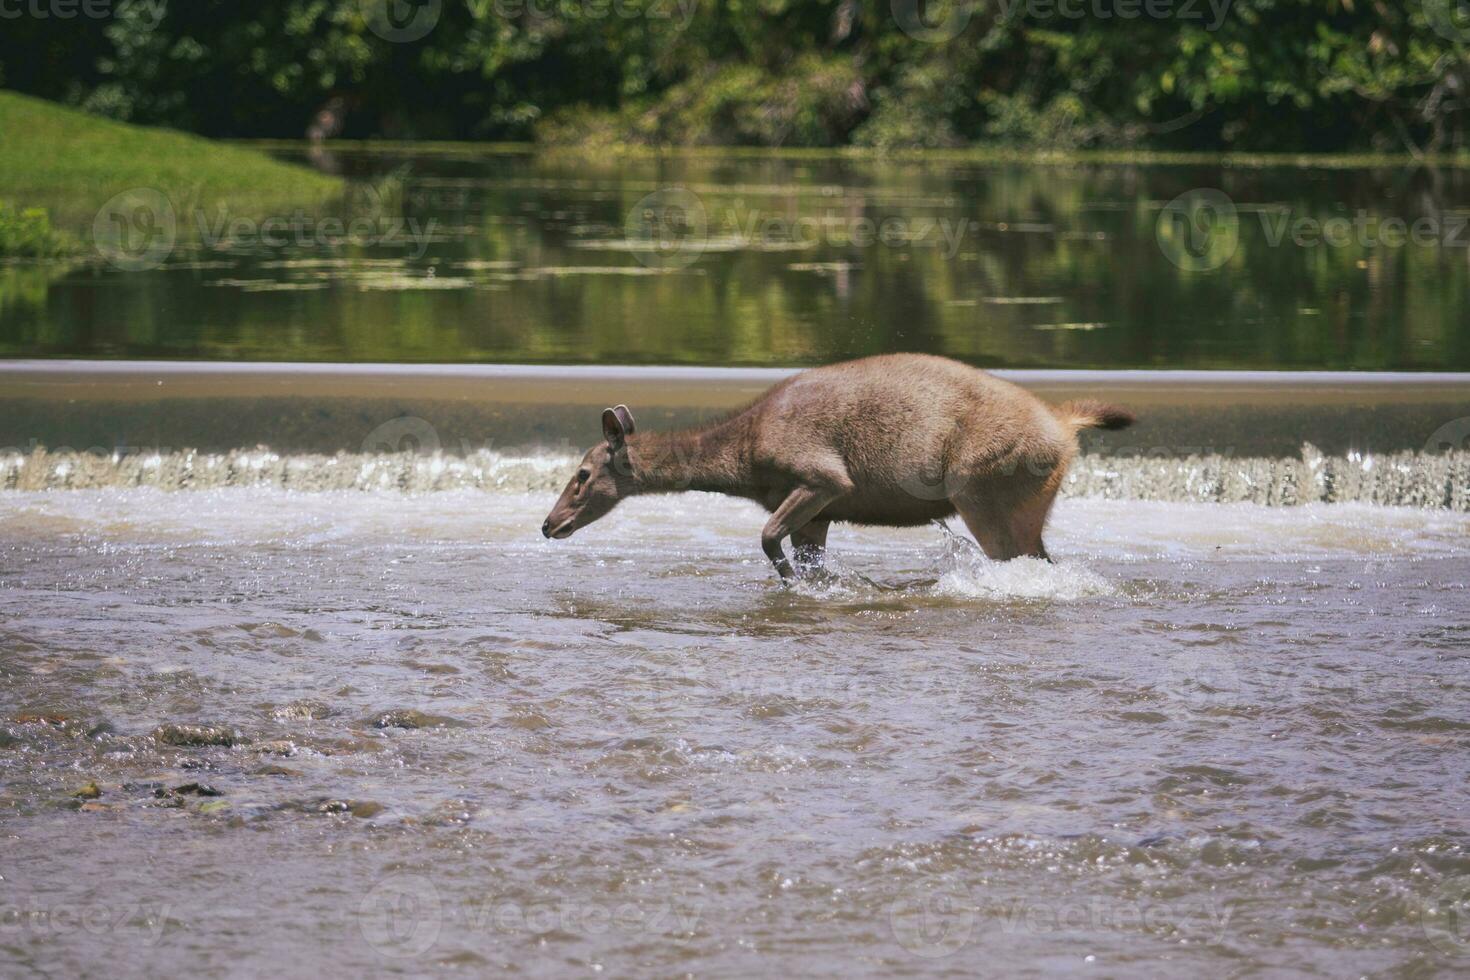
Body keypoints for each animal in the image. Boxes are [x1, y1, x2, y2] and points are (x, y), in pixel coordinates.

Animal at [543, 354, 1134, 578]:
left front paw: (787, 579)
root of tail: (1067, 426)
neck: (744, 465)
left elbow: (767, 536)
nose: (549, 524)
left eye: (582, 474)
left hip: (982, 491)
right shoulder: (820, 515)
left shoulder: (823, 477)